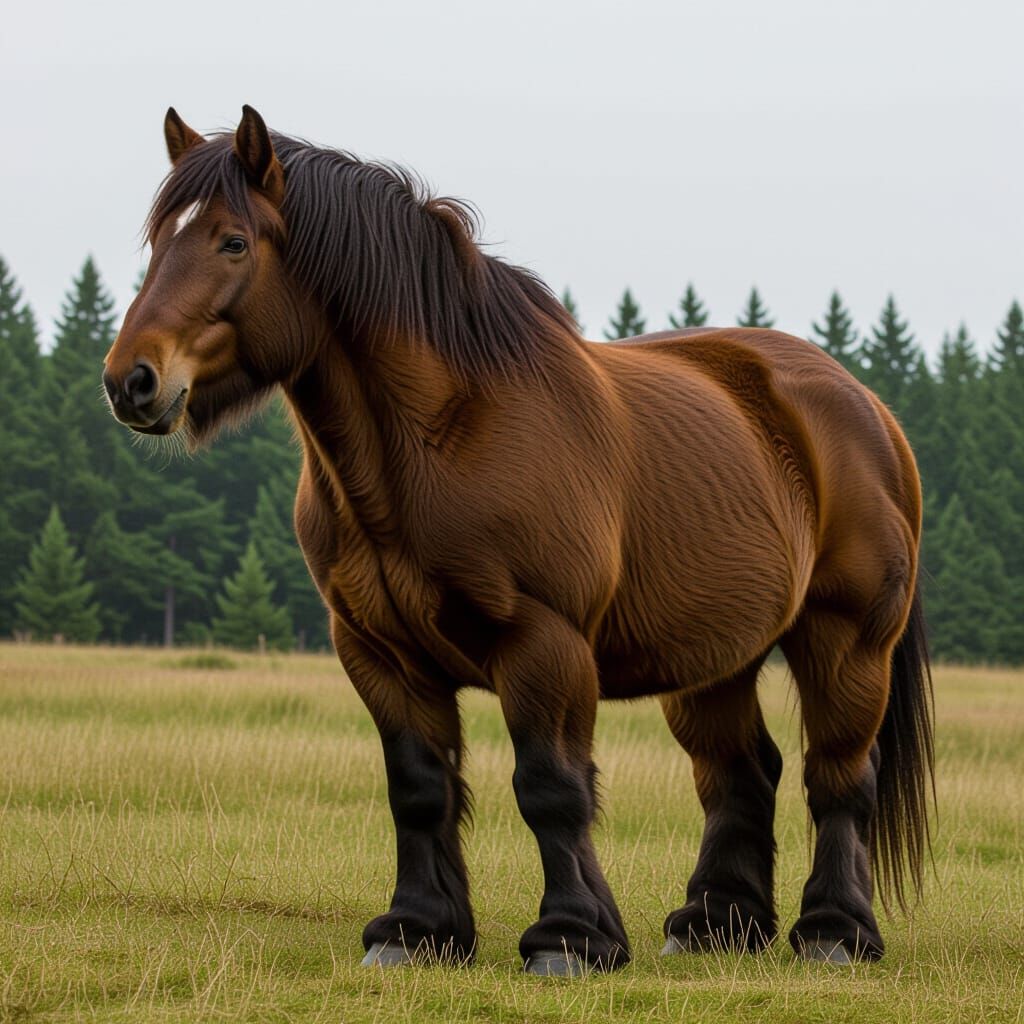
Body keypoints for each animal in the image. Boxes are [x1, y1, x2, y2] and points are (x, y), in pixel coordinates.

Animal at [103, 105, 933, 976]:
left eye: (233, 242)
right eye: (159, 241)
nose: (131, 381)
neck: (445, 436)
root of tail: (868, 409)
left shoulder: (544, 642)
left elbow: (550, 786)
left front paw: (571, 938)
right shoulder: (378, 651)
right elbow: (420, 788)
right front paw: (417, 931)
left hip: (846, 641)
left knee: (838, 775)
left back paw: (835, 933)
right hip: (714, 660)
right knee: (741, 772)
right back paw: (715, 923)